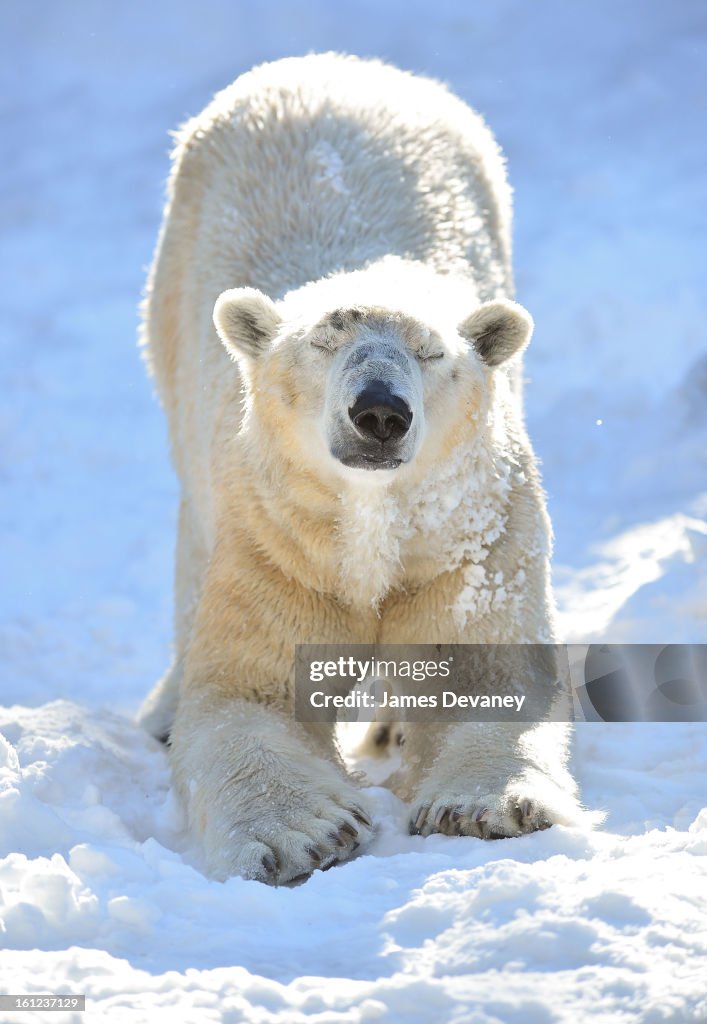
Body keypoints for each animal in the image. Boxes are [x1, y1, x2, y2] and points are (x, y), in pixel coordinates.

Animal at [139, 51, 581, 880]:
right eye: (325, 338)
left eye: (431, 351)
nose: (378, 411)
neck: (372, 523)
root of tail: (335, 65)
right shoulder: (276, 539)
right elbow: (248, 691)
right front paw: (304, 835)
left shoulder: (471, 540)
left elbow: (486, 675)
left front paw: (482, 808)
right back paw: (161, 713)